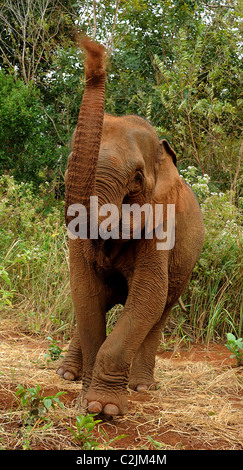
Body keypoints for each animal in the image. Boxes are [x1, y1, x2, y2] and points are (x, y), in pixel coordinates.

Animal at [57, 38, 205, 416]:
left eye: (137, 178)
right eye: (69, 162)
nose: (94, 52)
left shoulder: (162, 224)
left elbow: (148, 295)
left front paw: (104, 409)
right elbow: (84, 291)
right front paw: (87, 403)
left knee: (159, 312)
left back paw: (142, 387)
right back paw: (65, 375)